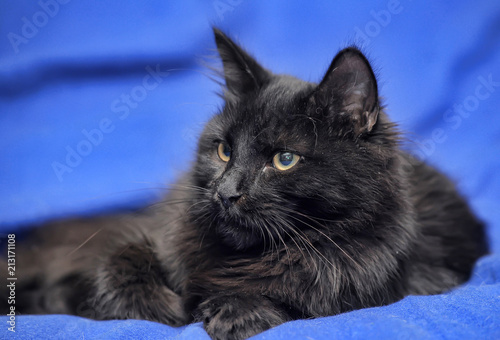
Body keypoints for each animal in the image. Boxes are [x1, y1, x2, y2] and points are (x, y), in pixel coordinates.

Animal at [1, 29, 488, 340]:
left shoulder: (379, 282)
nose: (226, 192)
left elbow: (299, 299)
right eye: (223, 151)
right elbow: (117, 266)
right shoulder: (151, 239)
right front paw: (169, 308)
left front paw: (231, 312)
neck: (245, 255)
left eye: (285, 160)